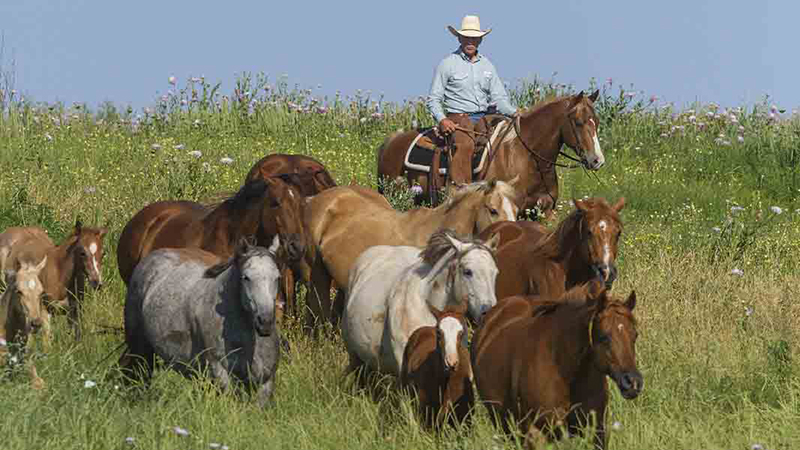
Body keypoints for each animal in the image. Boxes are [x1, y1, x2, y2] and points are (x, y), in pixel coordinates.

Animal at [119, 237, 282, 407]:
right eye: (246, 277)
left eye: (277, 278)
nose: (265, 322)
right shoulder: (220, 372)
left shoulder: (265, 382)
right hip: (140, 350)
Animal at [377, 91, 605, 214]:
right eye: (578, 122)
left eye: (597, 121)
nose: (597, 160)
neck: (526, 157)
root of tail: (390, 141)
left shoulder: (544, 211)